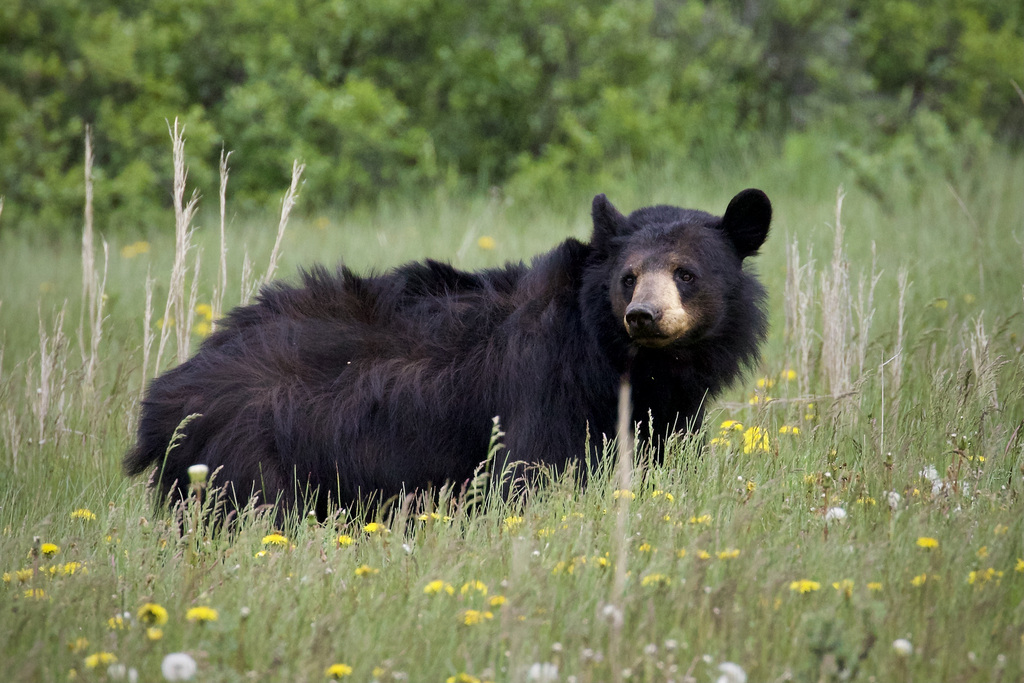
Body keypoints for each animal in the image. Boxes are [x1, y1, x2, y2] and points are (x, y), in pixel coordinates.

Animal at [125, 189, 771, 518]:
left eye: (686, 273)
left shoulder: (662, 413)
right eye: (628, 276)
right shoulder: (542, 391)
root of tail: (163, 399)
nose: (644, 316)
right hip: (249, 460)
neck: (613, 359)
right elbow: (527, 471)